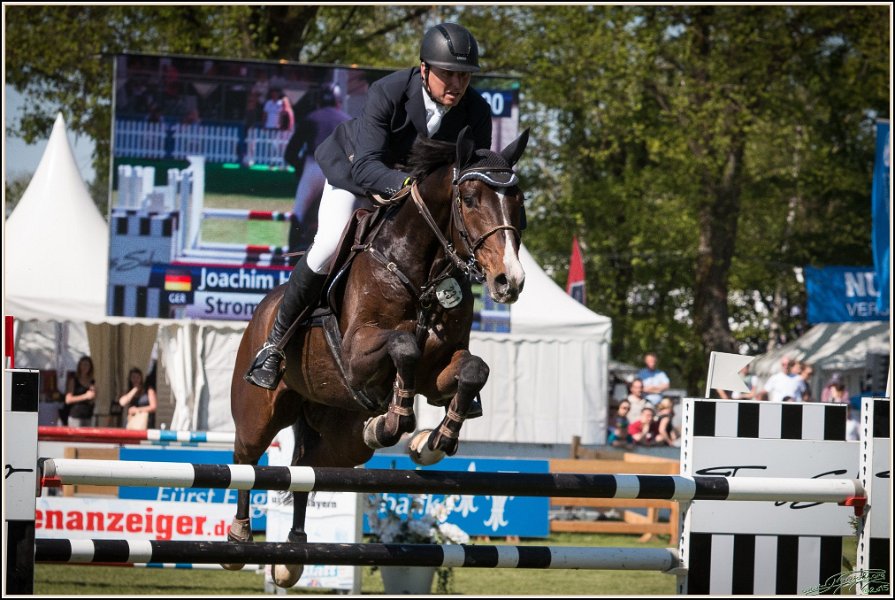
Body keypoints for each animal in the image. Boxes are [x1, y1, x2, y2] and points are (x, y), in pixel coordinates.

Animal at [226, 125, 530, 587]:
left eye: (519, 200)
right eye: (470, 198)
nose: (508, 281)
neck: (422, 272)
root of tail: (261, 310)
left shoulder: (438, 371)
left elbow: (473, 370)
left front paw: (432, 440)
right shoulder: (355, 353)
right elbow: (403, 345)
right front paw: (397, 419)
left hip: (343, 441)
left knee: (307, 469)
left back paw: (292, 555)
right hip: (258, 414)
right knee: (246, 461)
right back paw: (239, 538)